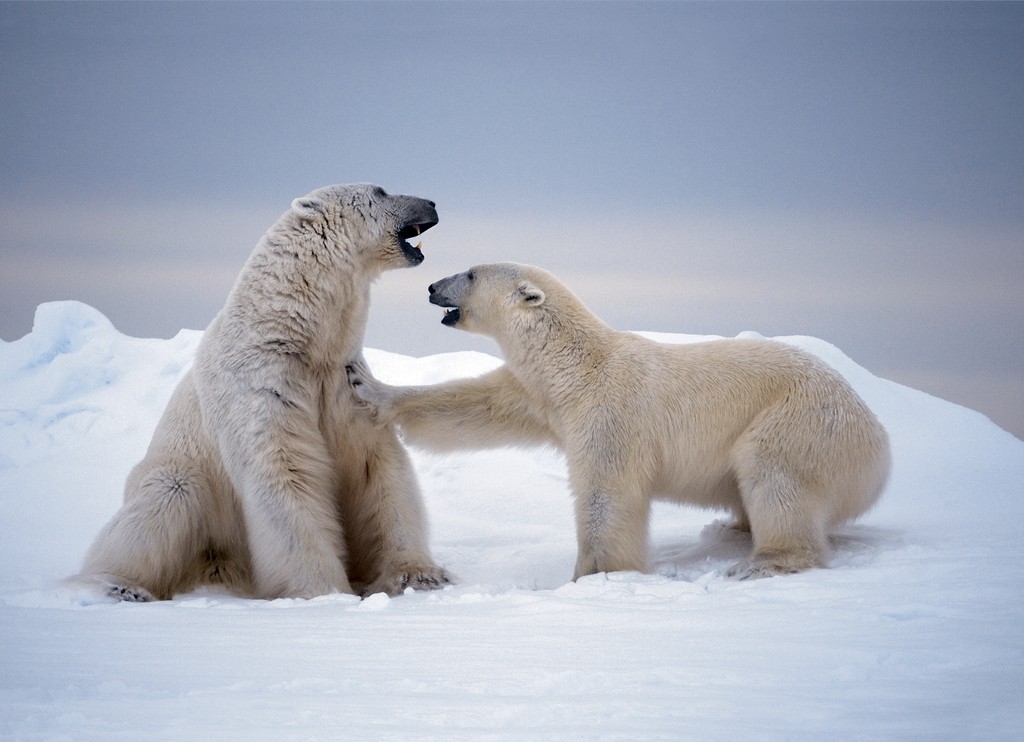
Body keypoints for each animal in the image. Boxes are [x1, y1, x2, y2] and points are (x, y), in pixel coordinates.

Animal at [72, 185, 452, 601]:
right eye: (380, 190)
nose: (432, 202)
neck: (294, 337)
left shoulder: (343, 384)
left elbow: (375, 467)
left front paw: (419, 574)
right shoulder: (261, 385)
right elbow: (285, 472)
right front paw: (323, 590)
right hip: (178, 475)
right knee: (161, 504)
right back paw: (119, 585)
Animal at [348, 260, 892, 577]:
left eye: (471, 273)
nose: (432, 286)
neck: (578, 365)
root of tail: (880, 448)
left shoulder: (611, 413)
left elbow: (607, 495)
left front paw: (592, 576)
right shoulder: (542, 398)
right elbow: (475, 405)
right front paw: (367, 384)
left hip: (802, 421)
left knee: (773, 473)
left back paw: (764, 561)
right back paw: (733, 530)